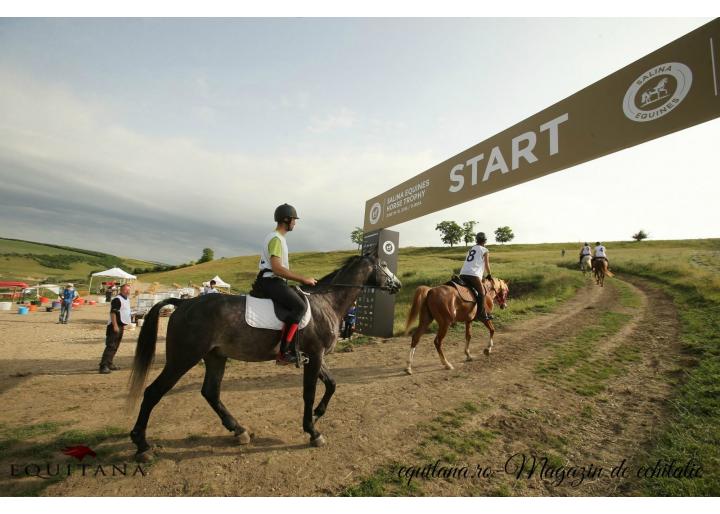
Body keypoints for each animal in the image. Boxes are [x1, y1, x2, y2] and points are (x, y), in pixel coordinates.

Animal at [126, 250, 402, 458]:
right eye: (384, 265)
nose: (397, 285)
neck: (327, 302)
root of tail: (183, 303)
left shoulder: (315, 356)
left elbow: (332, 384)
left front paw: (317, 414)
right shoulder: (315, 355)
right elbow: (310, 393)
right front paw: (312, 431)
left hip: (215, 356)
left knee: (210, 392)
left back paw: (239, 430)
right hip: (183, 358)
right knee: (153, 392)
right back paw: (142, 445)